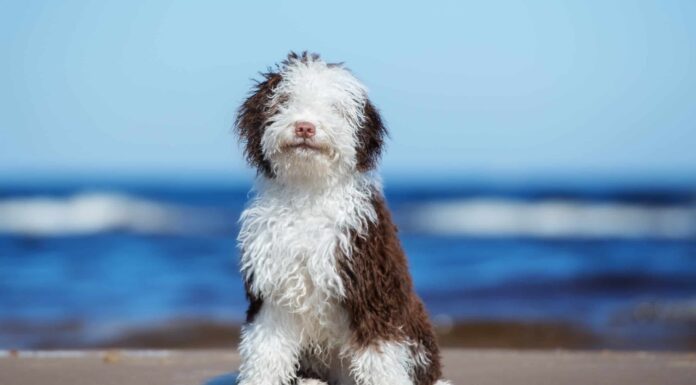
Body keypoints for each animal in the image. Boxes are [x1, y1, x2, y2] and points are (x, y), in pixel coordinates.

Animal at [237, 52, 448, 384]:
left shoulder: (371, 290)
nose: (305, 127)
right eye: (284, 100)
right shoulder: (273, 293)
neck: (309, 192)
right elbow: (266, 351)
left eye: (335, 108)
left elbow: (380, 357)